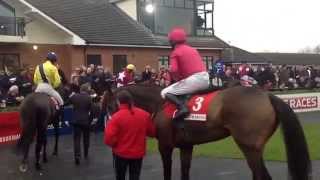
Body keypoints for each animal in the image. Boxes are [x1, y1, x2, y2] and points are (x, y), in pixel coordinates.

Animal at [101, 84, 312, 180]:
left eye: (110, 106)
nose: (108, 130)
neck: (159, 103)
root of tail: (267, 95)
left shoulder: (165, 146)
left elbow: (167, 171)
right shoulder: (186, 146)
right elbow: (185, 172)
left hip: (249, 147)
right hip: (255, 148)